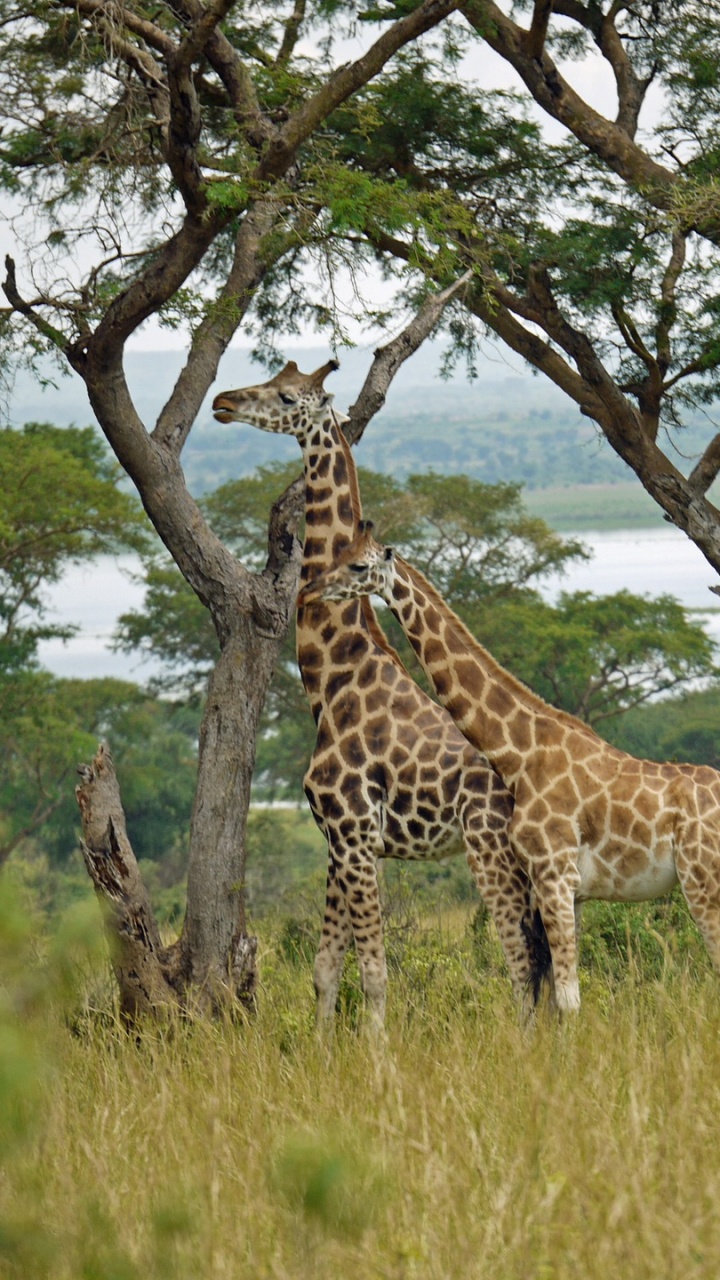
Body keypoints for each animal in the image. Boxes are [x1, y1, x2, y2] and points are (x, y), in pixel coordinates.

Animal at [212, 362, 551, 1028]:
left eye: (286, 395)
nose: (223, 402)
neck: (334, 674)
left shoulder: (356, 832)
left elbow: (373, 972)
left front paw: (377, 1052)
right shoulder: (337, 840)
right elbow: (324, 969)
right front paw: (323, 1049)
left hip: (492, 851)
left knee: (523, 963)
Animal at [301, 520, 720, 1013]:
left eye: (358, 566)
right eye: (337, 554)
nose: (309, 590)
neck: (520, 752)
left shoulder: (554, 873)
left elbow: (566, 995)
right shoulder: (563, 886)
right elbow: (555, 993)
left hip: (702, 881)